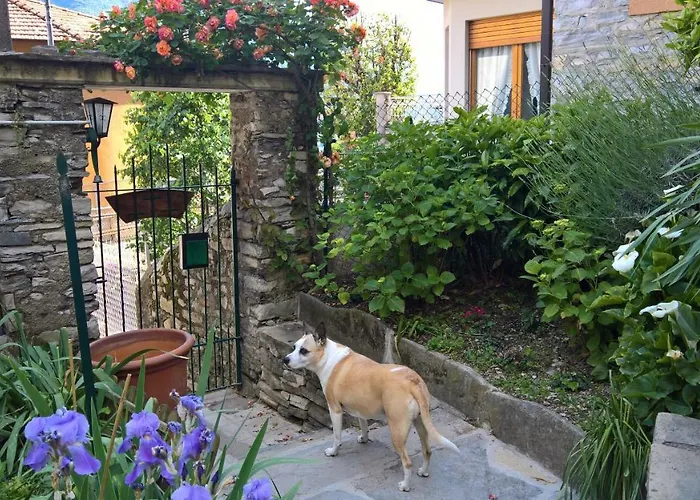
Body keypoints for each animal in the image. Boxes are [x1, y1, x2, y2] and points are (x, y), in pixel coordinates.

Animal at [283, 322, 460, 492]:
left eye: (304, 351)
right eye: (294, 347)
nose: (285, 359)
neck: (327, 356)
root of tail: (412, 381)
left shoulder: (335, 409)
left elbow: (337, 436)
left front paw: (333, 452)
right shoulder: (359, 409)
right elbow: (363, 425)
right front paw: (364, 439)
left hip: (397, 431)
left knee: (407, 462)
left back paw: (405, 485)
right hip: (421, 424)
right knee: (427, 450)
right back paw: (423, 471)